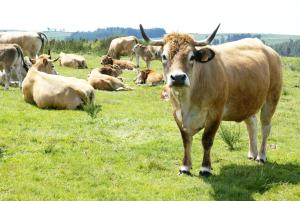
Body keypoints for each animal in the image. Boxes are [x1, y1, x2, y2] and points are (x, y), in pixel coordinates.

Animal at [139, 24, 282, 177]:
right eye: (164, 56)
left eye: (192, 57)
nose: (178, 77)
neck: (187, 102)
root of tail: (269, 50)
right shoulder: (176, 114)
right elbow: (186, 140)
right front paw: (185, 167)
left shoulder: (215, 113)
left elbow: (207, 140)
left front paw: (205, 168)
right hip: (247, 102)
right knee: (252, 124)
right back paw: (252, 153)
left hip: (271, 98)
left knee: (266, 126)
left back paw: (261, 156)